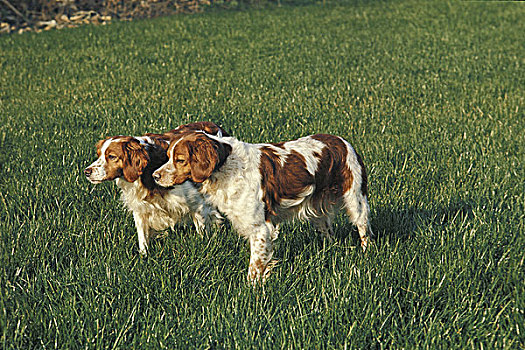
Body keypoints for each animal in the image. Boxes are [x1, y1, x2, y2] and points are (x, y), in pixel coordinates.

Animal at [84, 121, 227, 256]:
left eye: (112, 156)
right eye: (99, 155)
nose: (86, 171)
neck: (147, 172)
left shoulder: (197, 203)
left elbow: (202, 230)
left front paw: (205, 246)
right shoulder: (140, 208)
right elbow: (142, 236)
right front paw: (144, 256)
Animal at [151, 131, 372, 282]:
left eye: (180, 159)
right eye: (168, 156)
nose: (154, 176)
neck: (227, 165)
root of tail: (343, 142)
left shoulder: (260, 228)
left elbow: (255, 266)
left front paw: (251, 290)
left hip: (356, 200)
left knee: (364, 229)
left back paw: (366, 254)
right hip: (318, 212)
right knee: (328, 233)